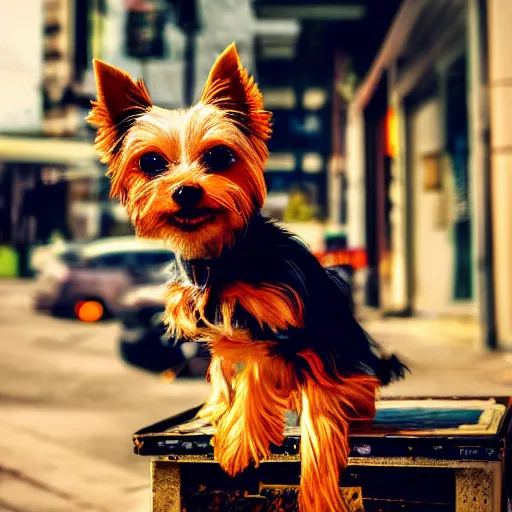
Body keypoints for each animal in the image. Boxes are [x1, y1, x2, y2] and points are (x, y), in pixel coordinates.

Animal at [88, 44, 408, 512]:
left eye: (219, 156)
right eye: (151, 162)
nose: (186, 190)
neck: (221, 256)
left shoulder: (283, 327)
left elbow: (262, 373)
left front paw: (242, 441)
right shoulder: (218, 330)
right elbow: (223, 369)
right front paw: (218, 413)